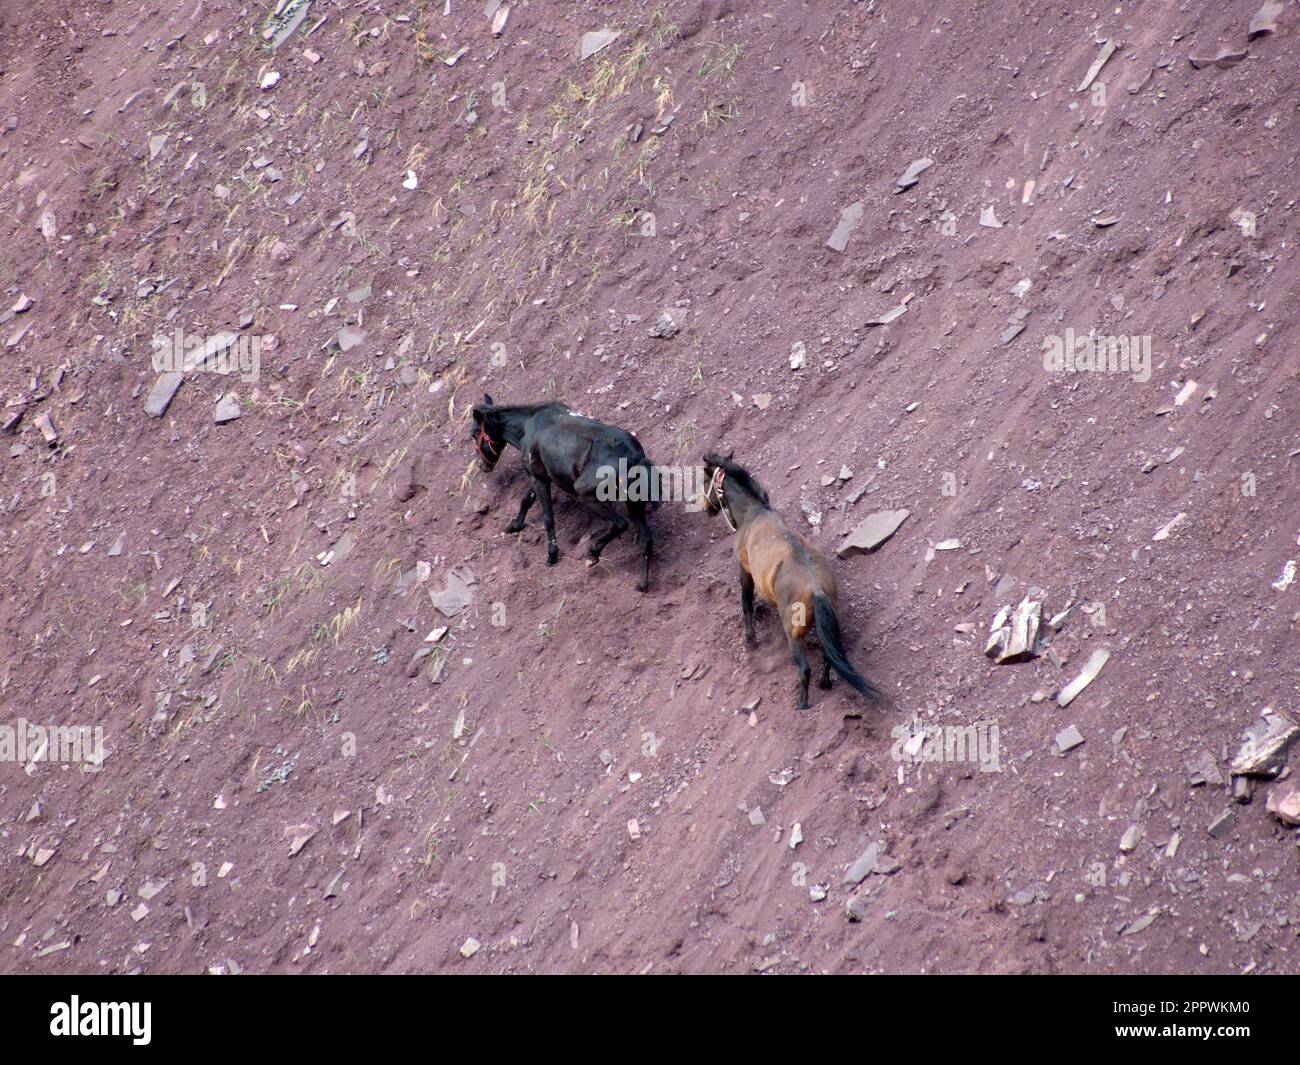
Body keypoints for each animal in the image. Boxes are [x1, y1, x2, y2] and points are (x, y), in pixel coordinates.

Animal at [470, 395, 655, 590]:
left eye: (474, 434)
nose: (482, 466)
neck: (529, 424)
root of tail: (634, 457)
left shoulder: (539, 479)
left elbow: (548, 518)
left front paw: (552, 555)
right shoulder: (540, 476)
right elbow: (526, 500)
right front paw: (515, 525)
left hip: (588, 496)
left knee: (619, 524)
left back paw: (593, 553)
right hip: (635, 503)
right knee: (646, 540)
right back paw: (642, 583)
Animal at [702, 455, 883, 712]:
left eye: (704, 479)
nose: (705, 507)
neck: (754, 513)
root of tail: (817, 590)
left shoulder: (744, 570)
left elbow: (745, 602)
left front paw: (750, 638)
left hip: (794, 635)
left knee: (805, 669)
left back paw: (802, 703)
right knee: (828, 656)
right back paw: (825, 683)